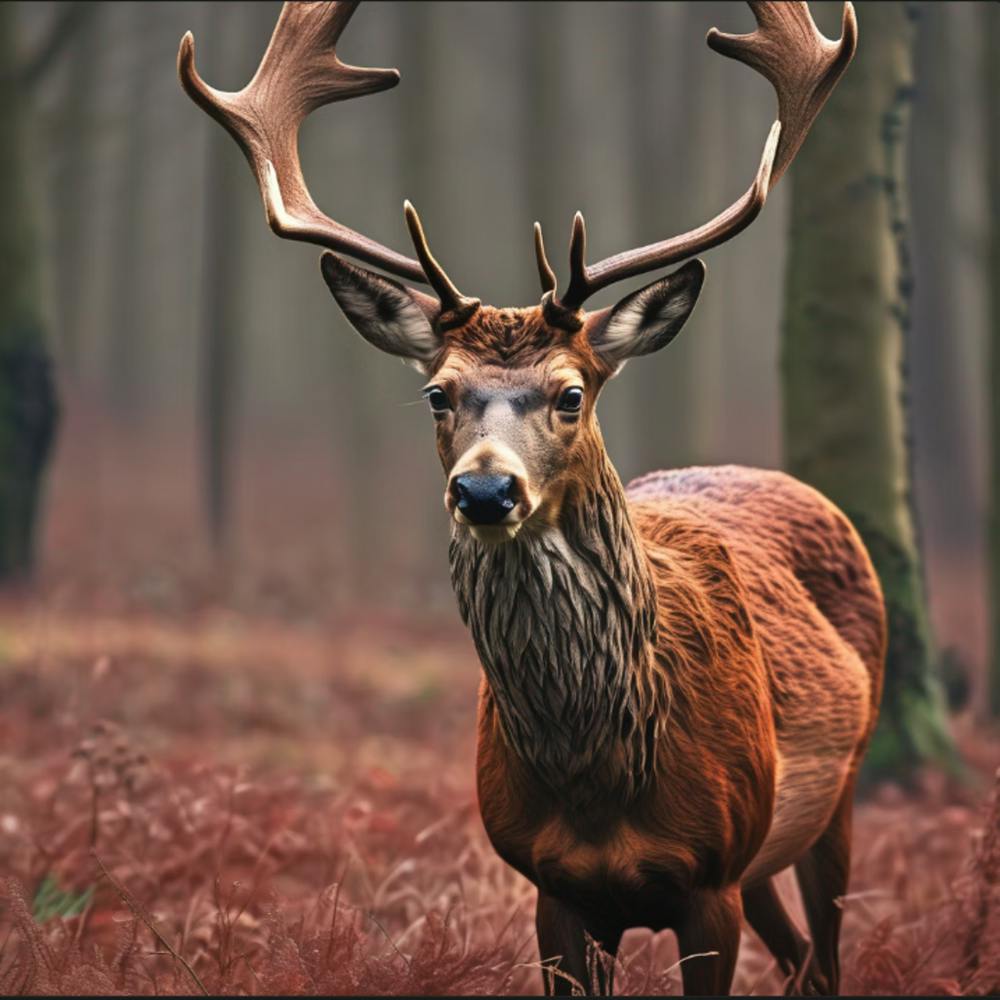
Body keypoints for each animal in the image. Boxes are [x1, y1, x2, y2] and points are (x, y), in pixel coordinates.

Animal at [179, 1, 884, 994]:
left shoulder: (709, 879)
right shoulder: (554, 886)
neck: (599, 781)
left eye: (571, 393)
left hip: (838, 789)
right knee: (795, 959)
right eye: (439, 393)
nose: (483, 488)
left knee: (823, 956)